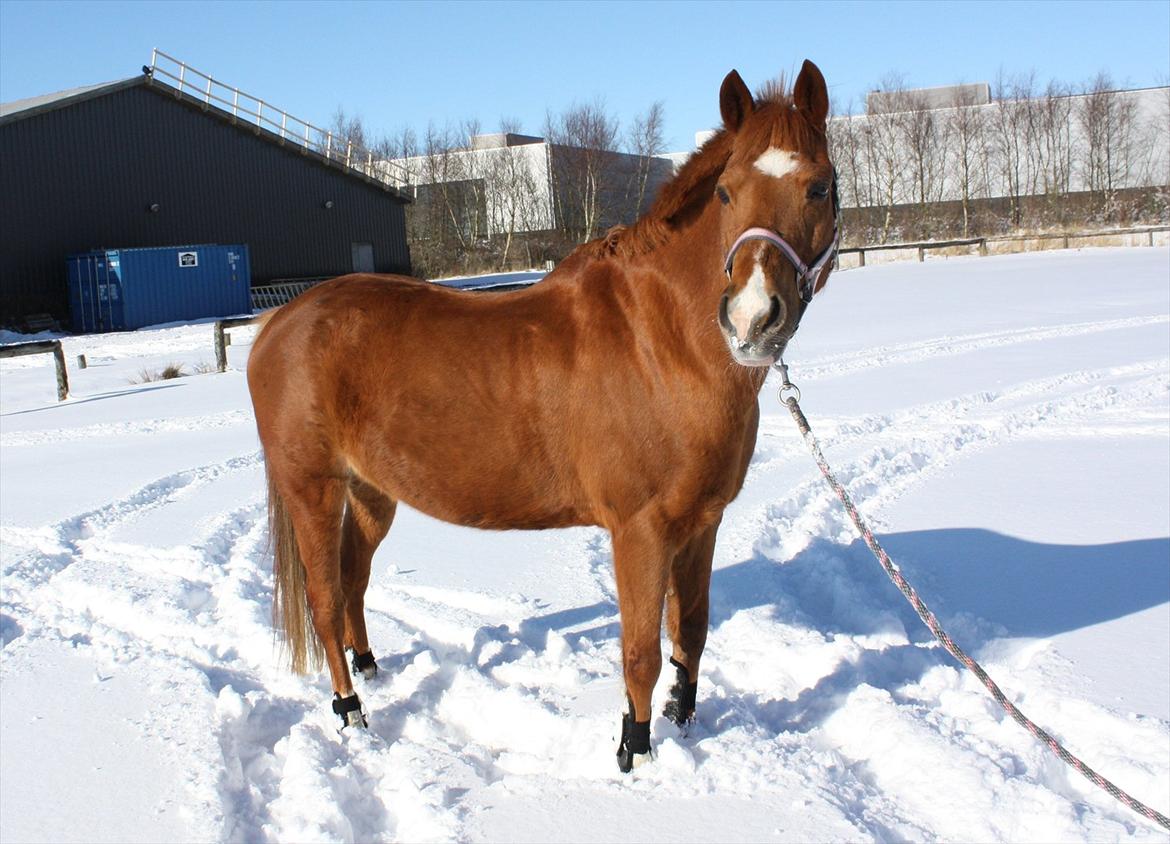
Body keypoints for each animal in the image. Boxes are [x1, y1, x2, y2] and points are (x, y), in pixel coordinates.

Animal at [246, 59, 837, 772]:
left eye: (820, 187)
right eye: (726, 193)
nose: (752, 320)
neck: (660, 341)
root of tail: (278, 322)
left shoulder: (702, 523)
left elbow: (689, 631)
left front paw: (683, 722)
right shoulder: (640, 531)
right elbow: (640, 652)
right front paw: (634, 752)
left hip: (371, 492)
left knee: (354, 577)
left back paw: (370, 669)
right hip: (313, 489)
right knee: (326, 602)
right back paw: (352, 712)